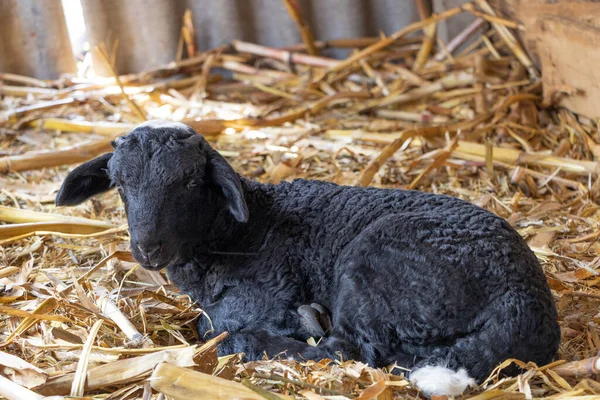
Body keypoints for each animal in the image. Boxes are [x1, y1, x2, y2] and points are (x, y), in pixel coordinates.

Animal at [54, 122, 560, 396]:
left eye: (190, 183)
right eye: (120, 185)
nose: (148, 248)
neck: (240, 231)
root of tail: (523, 304)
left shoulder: (266, 291)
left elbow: (210, 324)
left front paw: (276, 328)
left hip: (372, 267)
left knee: (352, 350)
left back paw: (276, 336)